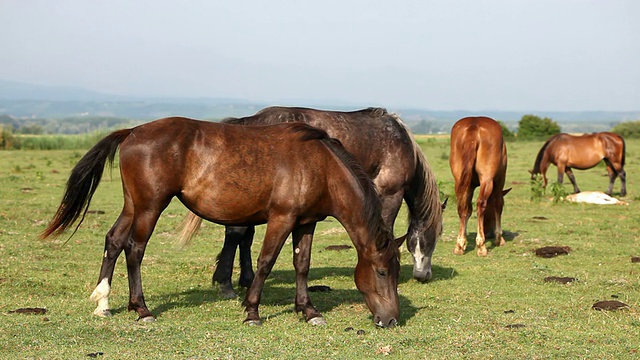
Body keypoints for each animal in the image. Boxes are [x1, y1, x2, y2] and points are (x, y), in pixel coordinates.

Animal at [40, 117, 400, 326]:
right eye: (382, 272)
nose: (392, 320)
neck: (320, 165)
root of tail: (132, 131)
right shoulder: (281, 219)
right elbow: (266, 262)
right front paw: (252, 311)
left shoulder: (305, 222)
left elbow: (302, 265)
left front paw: (308, 310)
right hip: (150, 207)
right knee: (135, 248)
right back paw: (141, 309)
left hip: (133, 205)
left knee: (114, 240)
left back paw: (103, 303)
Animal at [178, 105, 442, 296]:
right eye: (437, 235)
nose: (424, 275)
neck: (400, 142)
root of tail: (248, 121)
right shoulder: (390, 194)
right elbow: (386, 229)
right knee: (236, 234)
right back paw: (226, 284)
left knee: (243, 236)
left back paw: (245, 279)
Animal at [450, 117, 510, 256]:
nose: (487, 232)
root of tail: (473, 126)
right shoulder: (499, 181)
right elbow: (498, 204)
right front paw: (499, 238)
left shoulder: (470, 186)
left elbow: (467, 210)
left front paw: (462, 241)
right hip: (487, 180)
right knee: (481, 203)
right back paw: (481, 246)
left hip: (459, 180)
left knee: (462, 207)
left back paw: (459, 246)